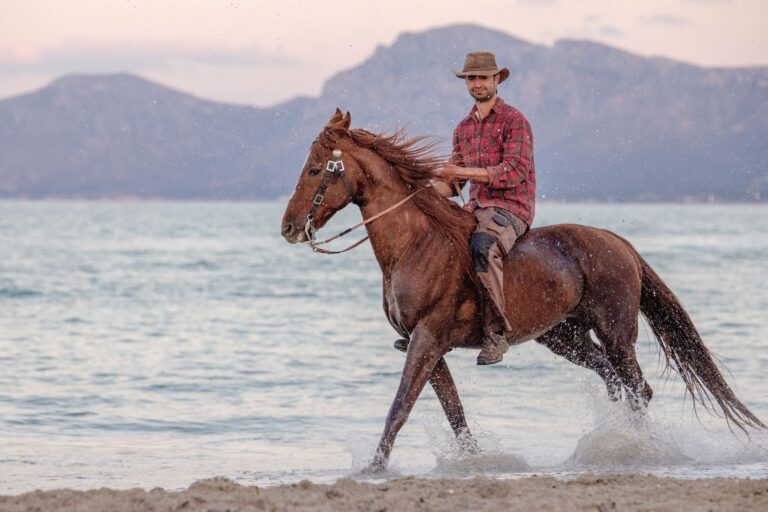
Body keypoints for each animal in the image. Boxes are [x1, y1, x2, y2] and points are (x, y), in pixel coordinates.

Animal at [280, 109, 764, 472]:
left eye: (315, 169)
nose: (288, 228)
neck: (415, 245)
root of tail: (617, 242)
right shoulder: (428, 347)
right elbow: (454, 413)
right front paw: (475, 461)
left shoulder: (426, 339)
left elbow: (399, 407)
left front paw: (373, 468)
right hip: (564, 337)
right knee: (612, 379)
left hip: (616, 331)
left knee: (636, 387)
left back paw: (640, 449)